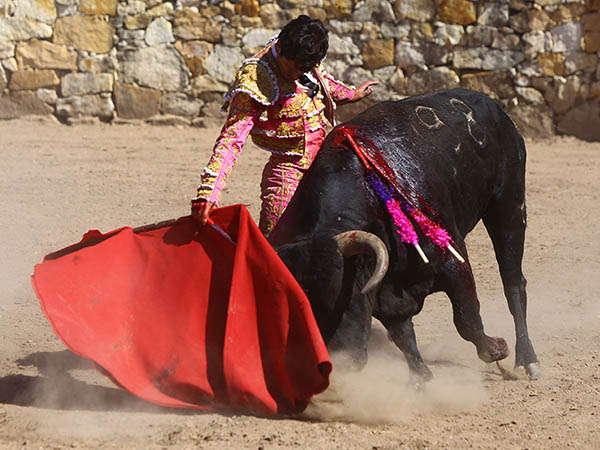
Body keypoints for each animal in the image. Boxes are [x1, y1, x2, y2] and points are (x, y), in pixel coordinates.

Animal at [270, 88, 540, 382]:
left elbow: (466, 319)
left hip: (509, 203)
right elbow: (402, 334)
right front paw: (422, 378)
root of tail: (493, 106)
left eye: (339, 293)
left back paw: (527, 360)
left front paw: (497, 349)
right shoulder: (387, 289)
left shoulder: (453, 260)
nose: (341, 363)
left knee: (513, 282)